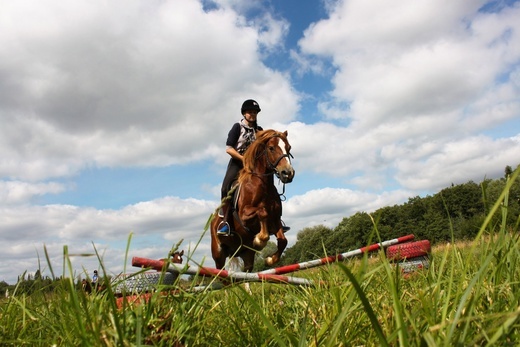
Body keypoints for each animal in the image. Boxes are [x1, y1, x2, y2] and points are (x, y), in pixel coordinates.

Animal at [210, 129, 292, 274]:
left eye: (289, 148)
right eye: (271, 148)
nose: (288, 173)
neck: (263, 185)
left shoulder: (275, 219)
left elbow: (283, 241)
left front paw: (270, 259)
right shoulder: (244, 215)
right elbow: (262, 212)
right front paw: (260, 240)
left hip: (247, 254)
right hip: (218, 254)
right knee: (220, 272)